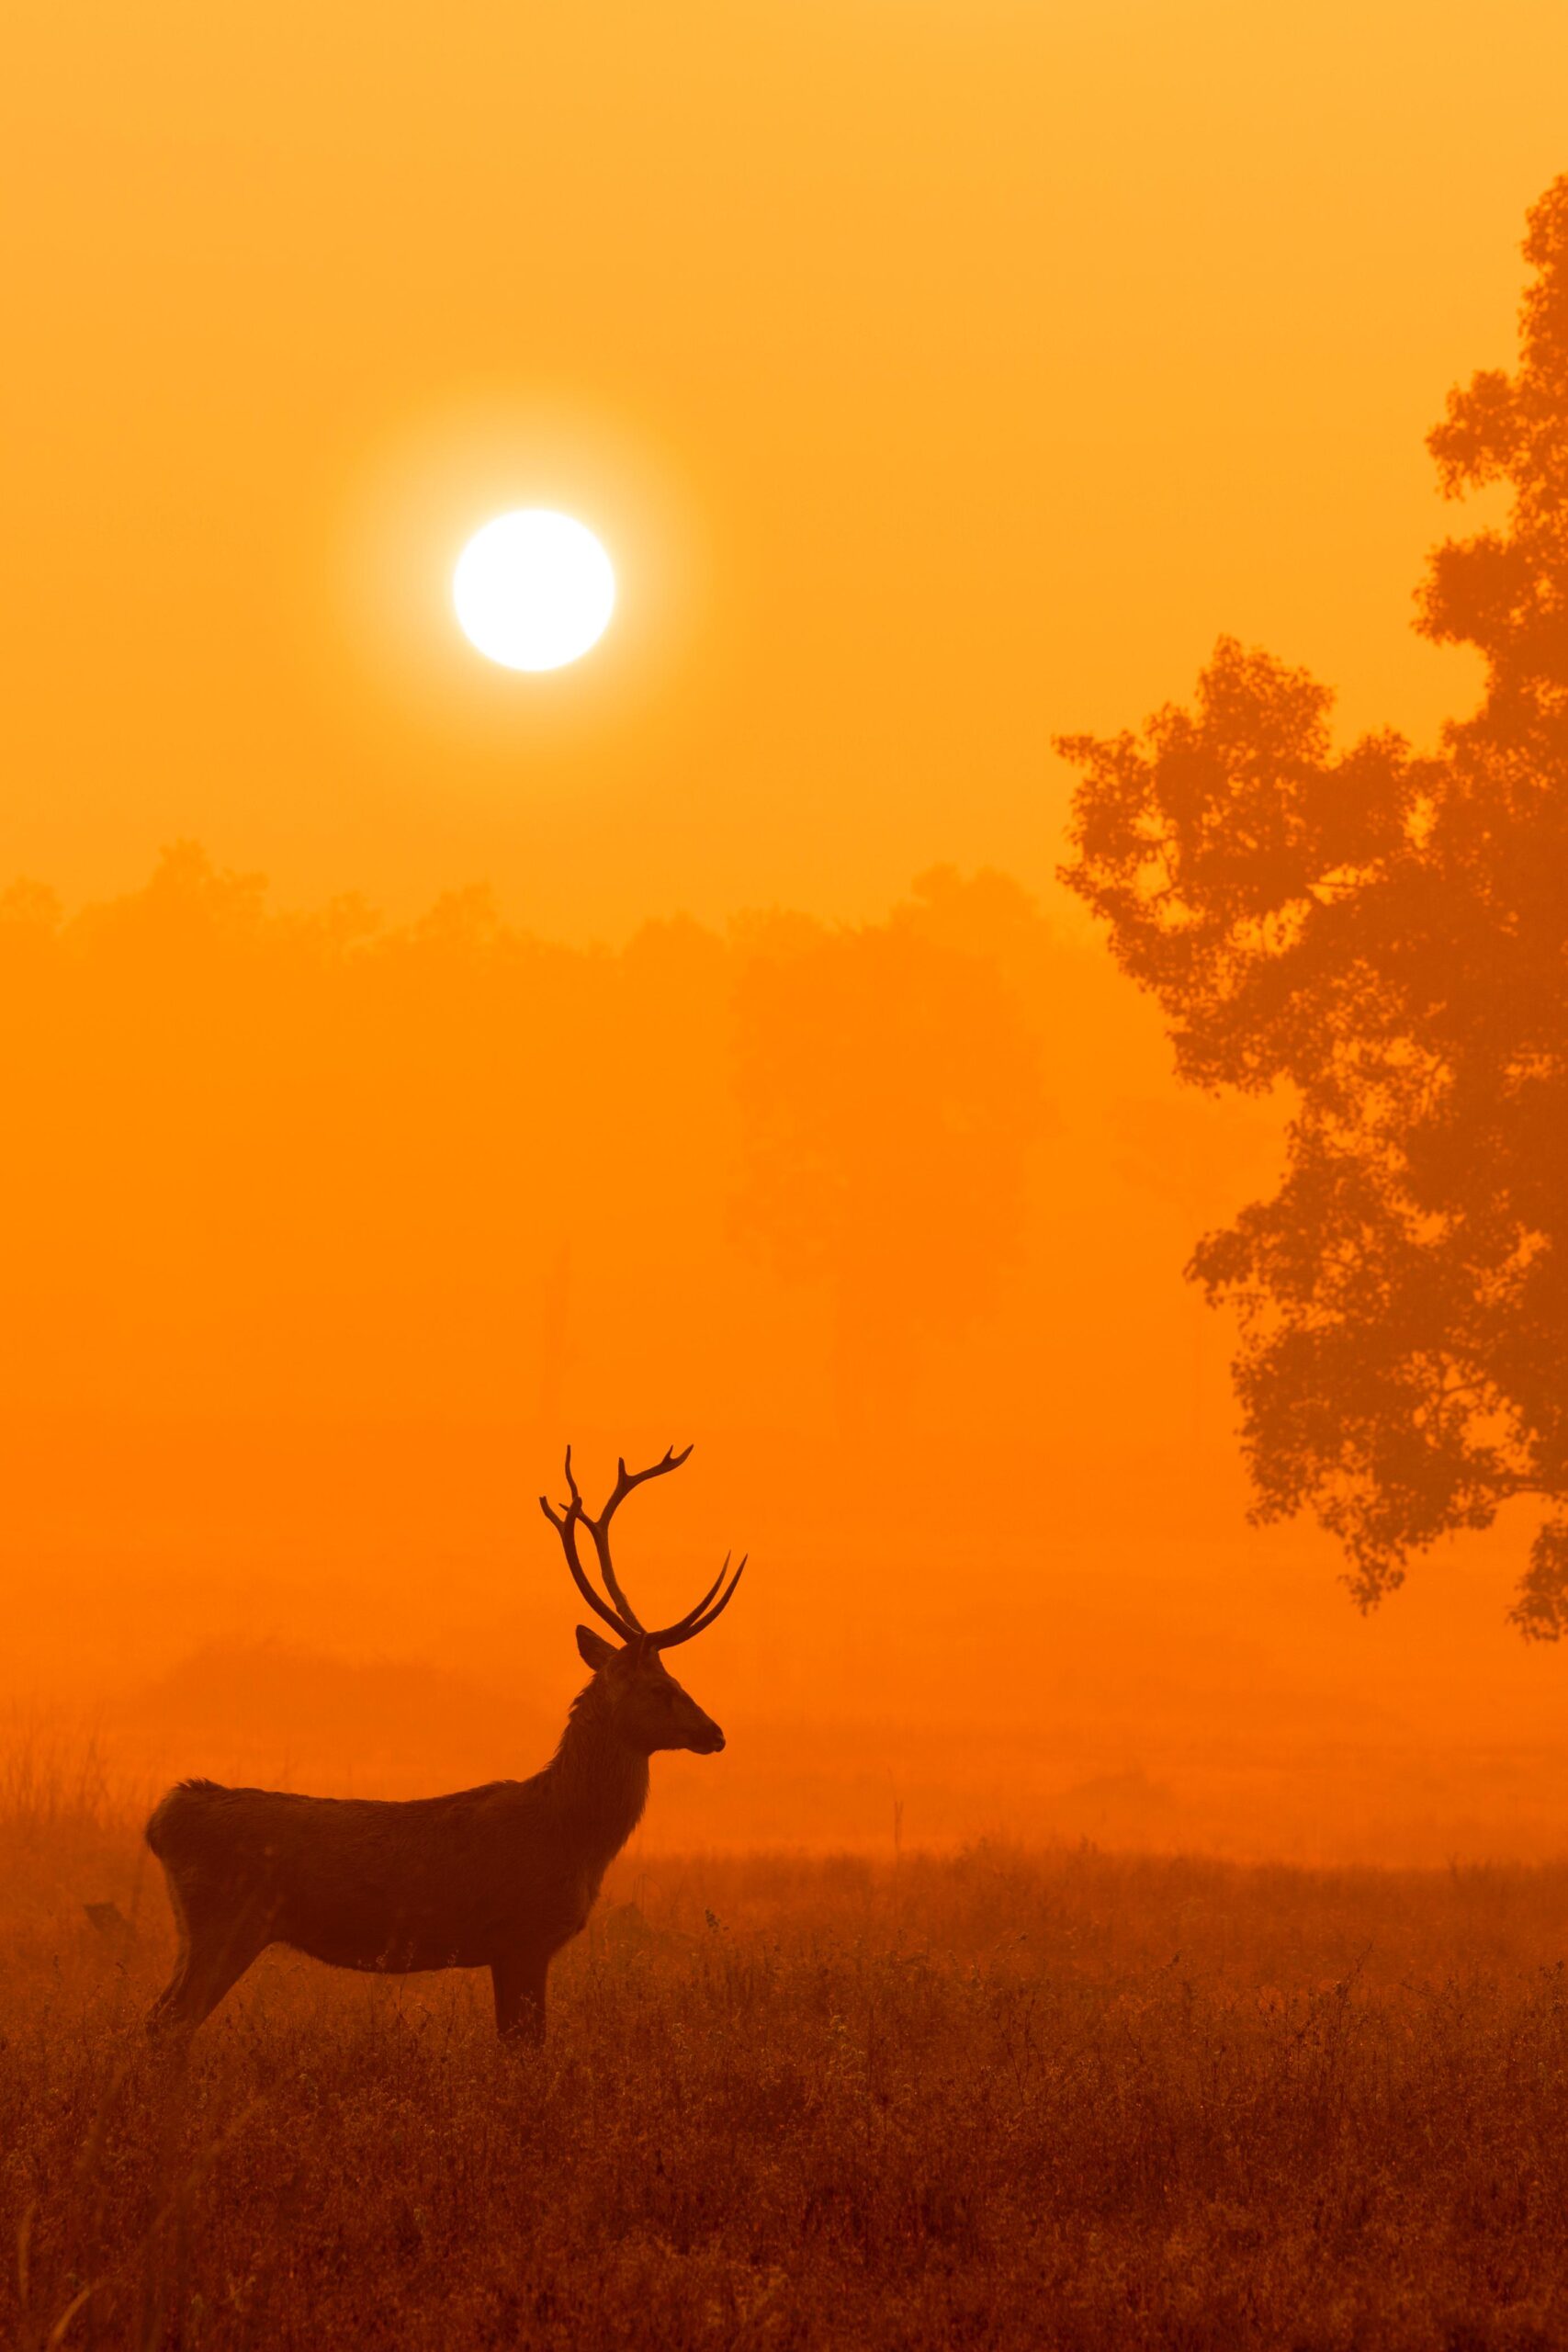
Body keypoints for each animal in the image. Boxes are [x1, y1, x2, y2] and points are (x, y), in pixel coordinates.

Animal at [141, 1439, 742, 2031]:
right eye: (664, 1686)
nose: (715, 1732)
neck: (571, 1836)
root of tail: (162, 1821)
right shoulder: (523, 1935)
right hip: (227, 1923)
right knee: (171, 2022)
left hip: (198, 1932)